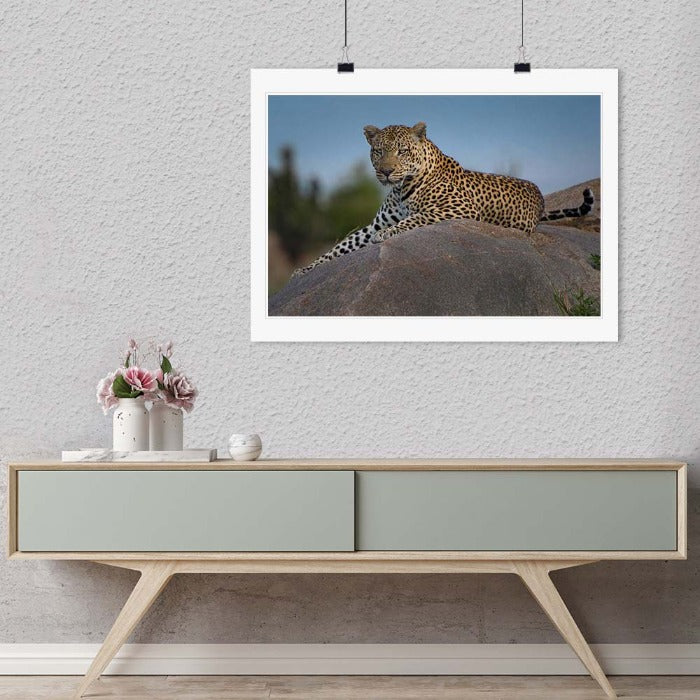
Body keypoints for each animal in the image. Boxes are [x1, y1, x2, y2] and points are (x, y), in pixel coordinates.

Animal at [291, 121, 594, 278]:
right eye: (378, 151)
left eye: (401, 151)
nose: (385, 171)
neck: (400, 188)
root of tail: (541, 198)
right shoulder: (373, 224)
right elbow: (342, 245)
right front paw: (306, 269)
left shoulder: (457, 209)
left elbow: (415, 218)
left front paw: (389, 234)